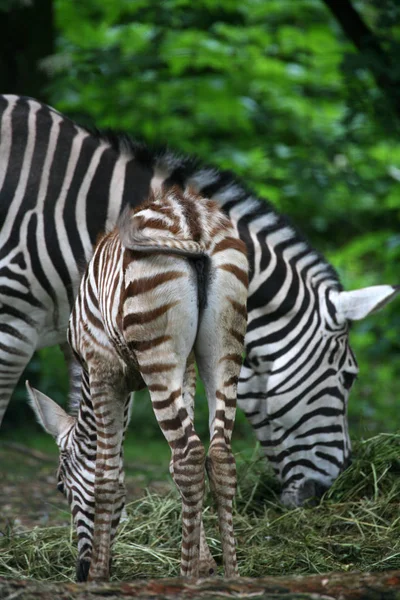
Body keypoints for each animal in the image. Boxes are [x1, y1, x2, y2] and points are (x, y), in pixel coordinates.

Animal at [27, 188, 247, 580]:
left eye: (60, 485)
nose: (80, 570)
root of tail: (190, 216)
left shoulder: (101, 367)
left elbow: (107, 478)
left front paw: (100, 575)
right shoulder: (187, 367)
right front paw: (206, 562)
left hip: (157, 350)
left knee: (189, 455)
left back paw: (185, 578)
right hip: (223, 348)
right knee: (219, 456)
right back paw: (231, 575)